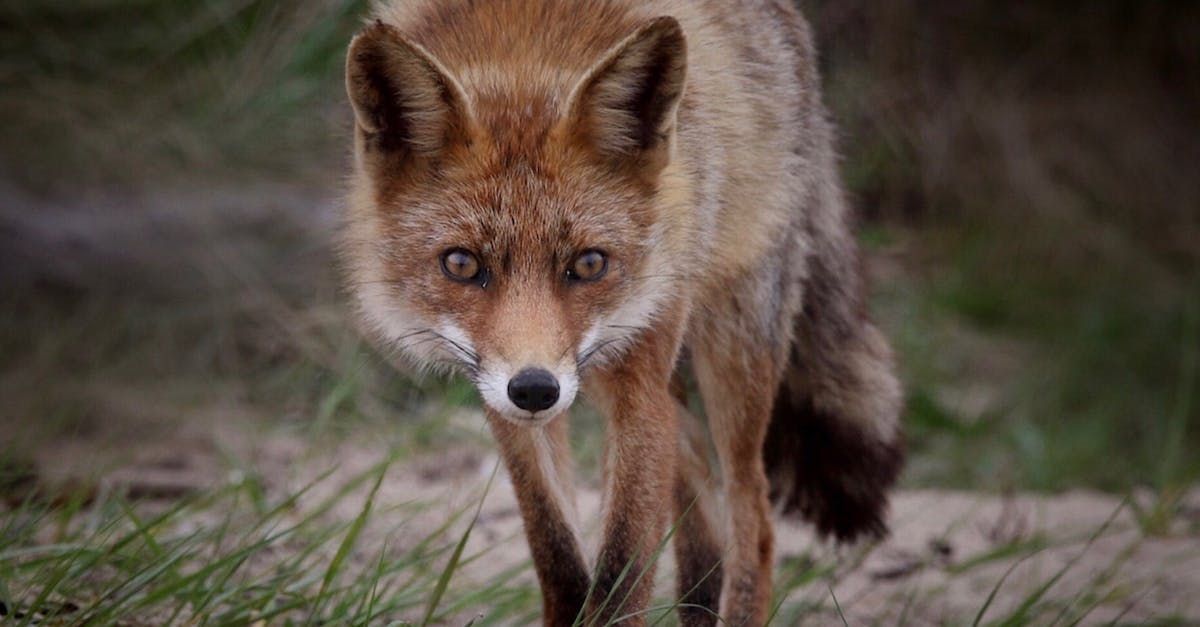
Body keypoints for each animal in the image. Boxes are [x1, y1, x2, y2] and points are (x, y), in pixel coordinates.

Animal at [340, 0, 903, 624]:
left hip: (731, 349)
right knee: (702, 525)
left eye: (588, 264)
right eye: (462, 264)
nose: (534, 389)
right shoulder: (500, 397)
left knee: (752, 519)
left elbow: (620, 576)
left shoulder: (640, 384)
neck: (523, 61)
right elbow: (560, 560)